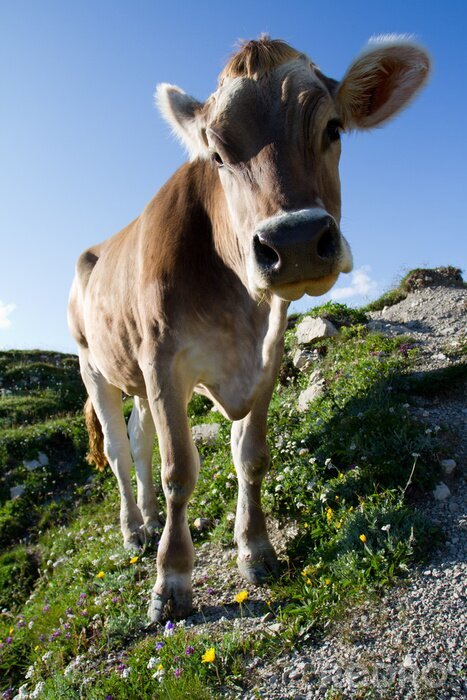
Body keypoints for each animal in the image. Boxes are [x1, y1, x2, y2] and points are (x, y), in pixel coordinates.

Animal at [68, 36, 430, 622]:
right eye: (216, 154)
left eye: (333, 128)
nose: (296, 241)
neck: (239, 309)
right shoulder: (162, 362)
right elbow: (179, 471)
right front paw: (171, 580)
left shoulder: (267, 354)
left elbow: (251, 456)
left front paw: (256, 549)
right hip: (92, 365)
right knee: (122, 455)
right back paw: (134, 531)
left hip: (134, 373)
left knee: (139, 443)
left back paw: (148, 518)